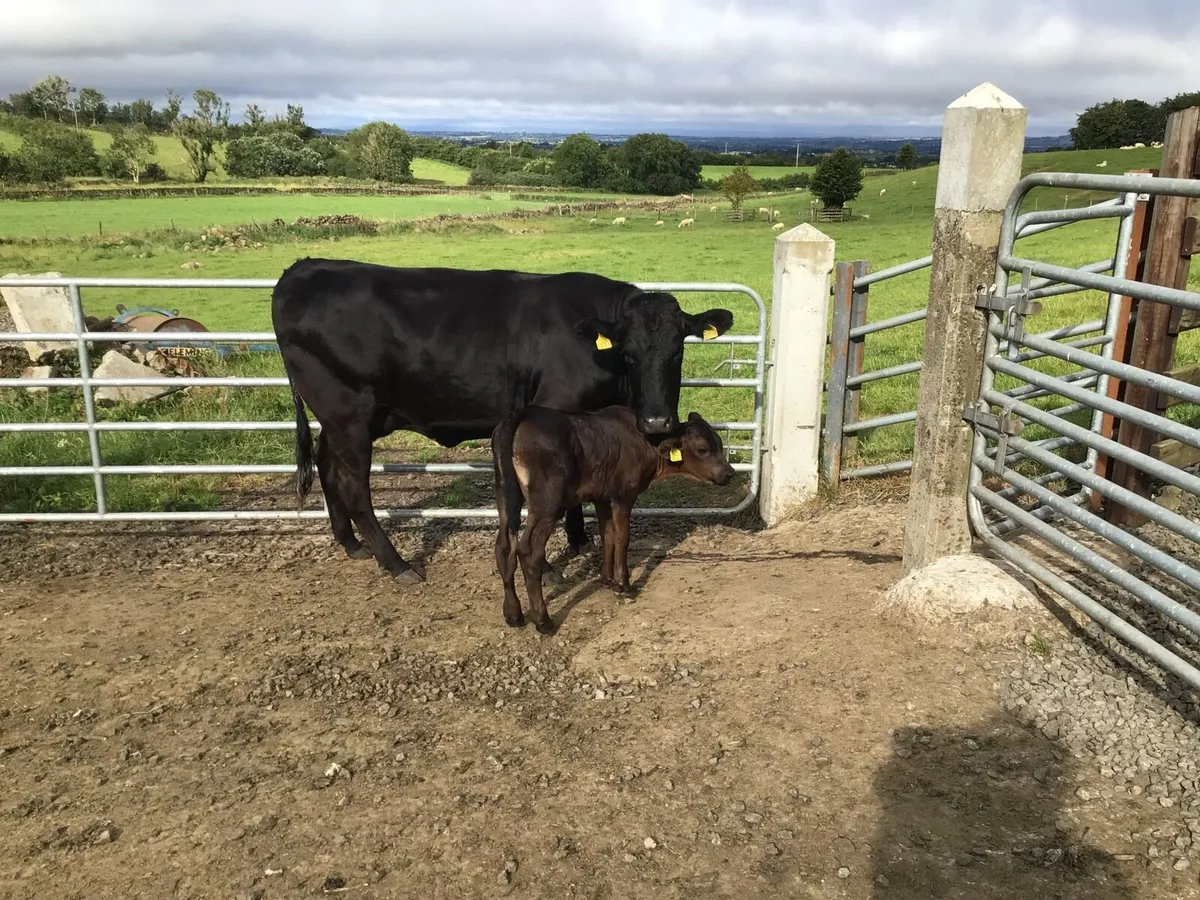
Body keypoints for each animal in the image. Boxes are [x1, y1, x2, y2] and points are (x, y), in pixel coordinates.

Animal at [270, 258, 735, 584]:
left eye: (678, 350)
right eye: (629, 352)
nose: (657, 421)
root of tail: (303, 268)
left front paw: (579, 540)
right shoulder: (554, 411)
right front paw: (555, 560)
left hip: (339, 421)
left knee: (327, 467)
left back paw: (350, 543)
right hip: (347, 416)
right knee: (354, 485)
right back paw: (397, 563)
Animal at [491, 406, 734, 634]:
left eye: (719, 444)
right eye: (703, 450)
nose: (729, 473)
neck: (645, 444)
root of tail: (523, 413)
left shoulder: (601, 497)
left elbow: (607, 534)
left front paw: (606, 578)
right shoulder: (623, 496)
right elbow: (622, 538)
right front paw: (623, 585)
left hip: (504, 494)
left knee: (504, 546)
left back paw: (513, 614)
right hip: (548, 503)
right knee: (529, 552)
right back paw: (542, 620)